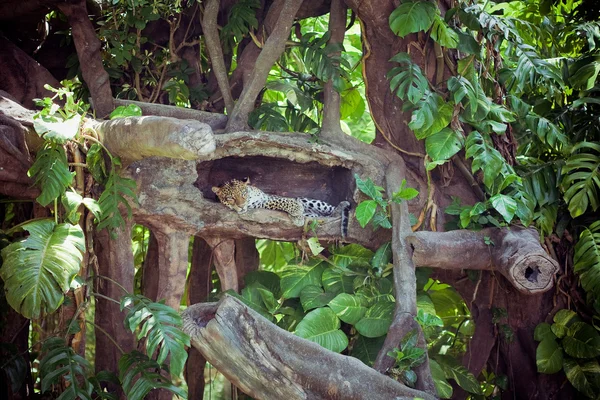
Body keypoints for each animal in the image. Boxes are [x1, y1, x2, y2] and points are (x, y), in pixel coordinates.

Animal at [212, 177, 350, 236]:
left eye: (243, 193)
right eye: (230, 198)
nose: (241, 206)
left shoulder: (266, 197)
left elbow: (282, 199)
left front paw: (297, 211)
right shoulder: (263, 203)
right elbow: (279, 202)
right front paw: (297, 215)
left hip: (312, 202)